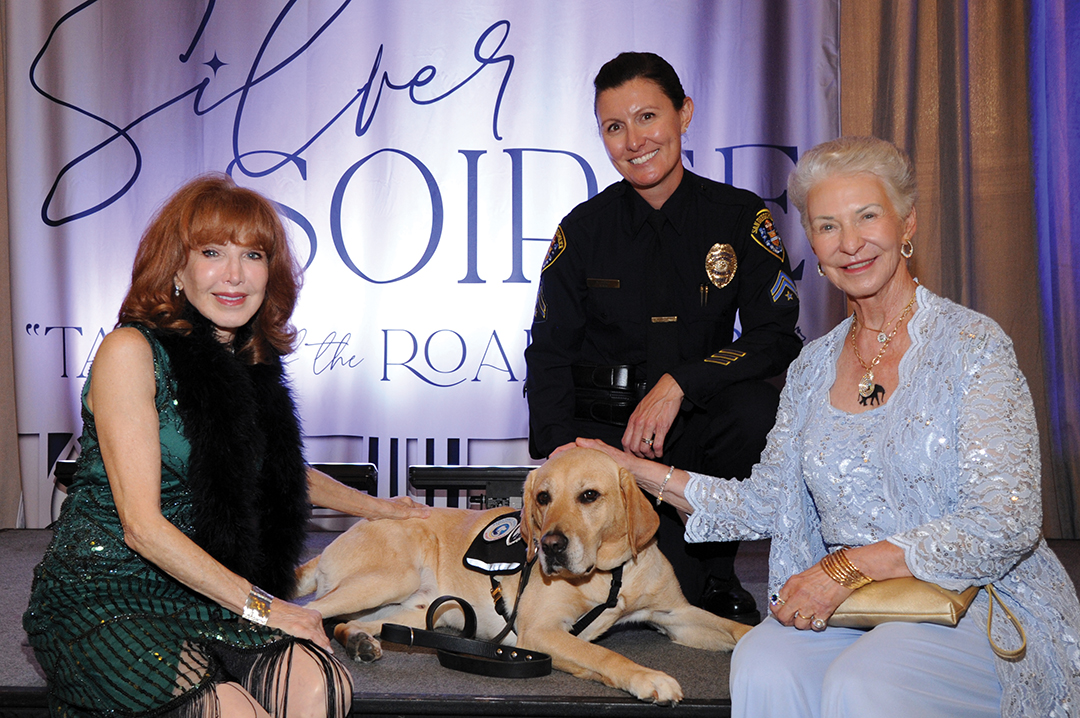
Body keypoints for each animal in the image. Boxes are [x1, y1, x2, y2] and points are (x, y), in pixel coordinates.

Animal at [295, 444, 751, 703]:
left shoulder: (677, 616)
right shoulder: (541, 631)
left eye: (589, 496)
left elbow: (734, 629)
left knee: (350, 622)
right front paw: (646, 677)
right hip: (391, 576)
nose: (550, 546)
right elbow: (603, 653)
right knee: (310, 610)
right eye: (543, 497)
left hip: (420, 613)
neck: (608, 576)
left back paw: (359, 641)